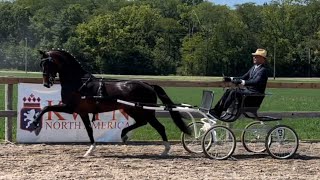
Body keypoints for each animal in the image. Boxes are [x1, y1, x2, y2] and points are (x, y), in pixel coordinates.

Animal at [33, 48, 190, 156]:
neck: (78, 83)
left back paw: (165, 149)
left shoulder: (71, 108)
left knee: (159, 127)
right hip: (132, 109)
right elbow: (89, 129)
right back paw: (125, 134)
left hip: (143, 110)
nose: (46, 83)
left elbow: (46, 108)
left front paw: (35, 125)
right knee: (143, 123)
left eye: (48, 63)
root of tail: (148, 85)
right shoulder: (81, 111)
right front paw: (91, 149)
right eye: (41, 64)